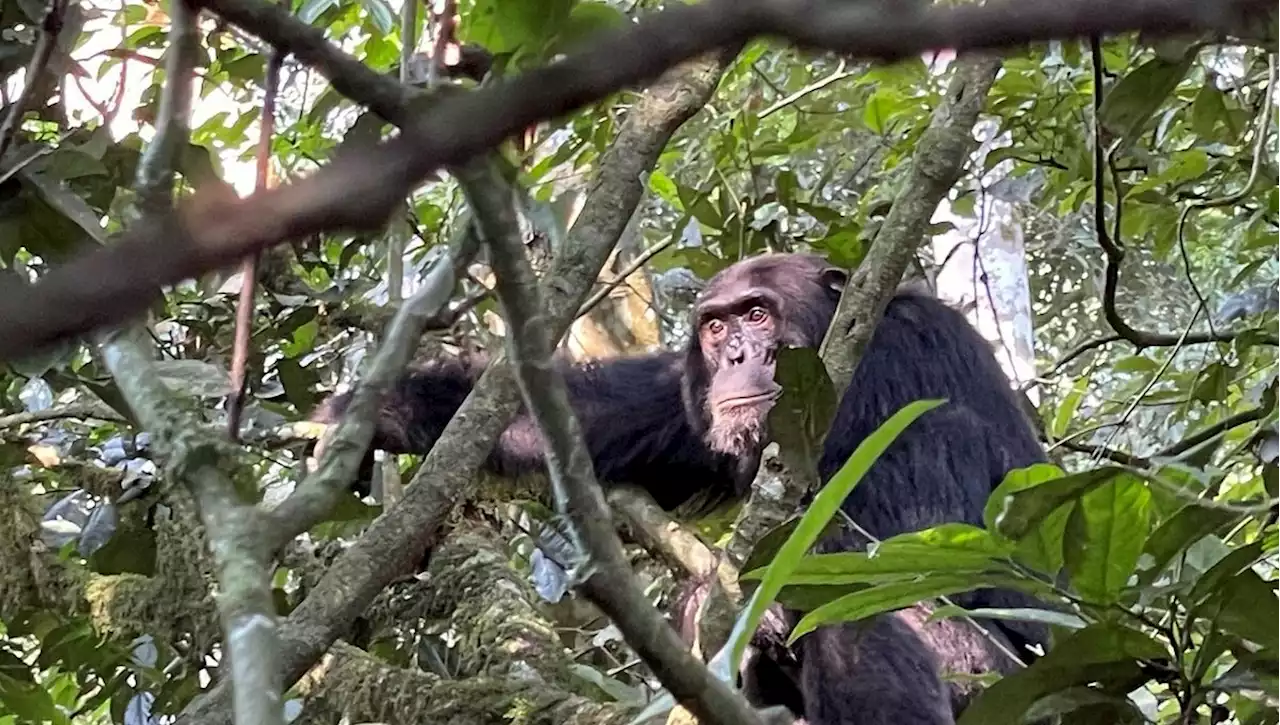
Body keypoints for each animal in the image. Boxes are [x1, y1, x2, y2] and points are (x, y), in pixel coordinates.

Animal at [309, 252, 1049, 722]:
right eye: (716, 325)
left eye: (759, 314)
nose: (737, 355)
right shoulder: (688, 400)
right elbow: (594, 415)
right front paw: (377, 412)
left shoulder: (902, 360)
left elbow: (901, 550)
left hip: (994, 682)